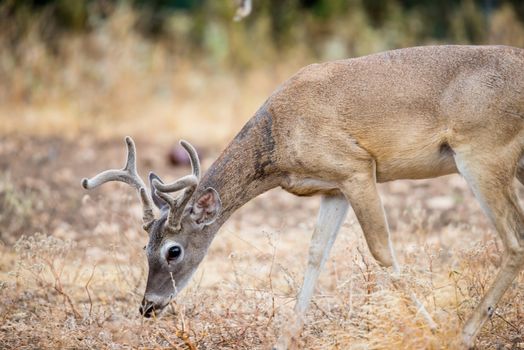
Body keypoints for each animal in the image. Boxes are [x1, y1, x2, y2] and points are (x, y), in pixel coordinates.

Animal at [82, 45, 524, 348]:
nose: (148, 306)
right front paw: (284, 338)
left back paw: (463, 333)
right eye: (144, 247)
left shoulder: (357, 167)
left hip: (483, 153)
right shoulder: (333, 186)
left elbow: (381, 252)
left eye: (172, 250)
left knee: (514, 243)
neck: (279, 139)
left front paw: (431, 329)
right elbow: (315, 254)